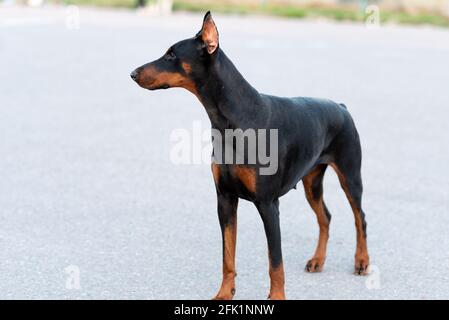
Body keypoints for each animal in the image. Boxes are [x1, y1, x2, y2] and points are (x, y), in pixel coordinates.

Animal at [130, 11, 368, 300]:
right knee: (326, 216)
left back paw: (362, 261)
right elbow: (227, 255)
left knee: (360, 218)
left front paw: (276, 297)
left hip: (350, 174)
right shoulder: (225, 199)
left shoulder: (268, 204)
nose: (132, 73)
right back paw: (317, 260)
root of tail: (342, 107)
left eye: (172, 55)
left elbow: (275, 262)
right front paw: (224, 293)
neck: (234, 119)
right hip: (312, 181)